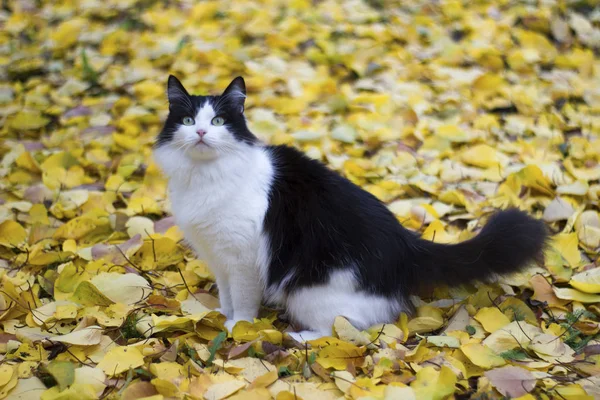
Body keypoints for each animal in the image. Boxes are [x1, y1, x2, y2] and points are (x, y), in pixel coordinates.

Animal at [152, 76, 548, 340]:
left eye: (218, 122)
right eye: (188, 121)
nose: (201, 133)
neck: (205, 177)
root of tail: (406, 243)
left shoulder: (243, 259)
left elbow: (245, 300)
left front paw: (240, 327)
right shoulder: (218, 257)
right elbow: (226, 295)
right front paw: (223, 316)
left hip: (308, 293)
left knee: (350, 329)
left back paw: (297, 337)